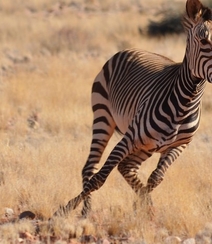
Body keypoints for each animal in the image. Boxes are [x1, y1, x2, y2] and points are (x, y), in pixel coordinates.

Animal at [53, 0, 212, 217]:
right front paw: (63, 210)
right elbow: (99, 178)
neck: (186, 102)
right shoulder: (129, 138)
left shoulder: (179, 146)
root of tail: (131, 49)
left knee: (126, 167)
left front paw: (143, 207)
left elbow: (156, 177)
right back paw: (86, 211)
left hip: (147, 145)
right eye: (204, 41)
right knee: (91, 168)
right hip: (103, 117)